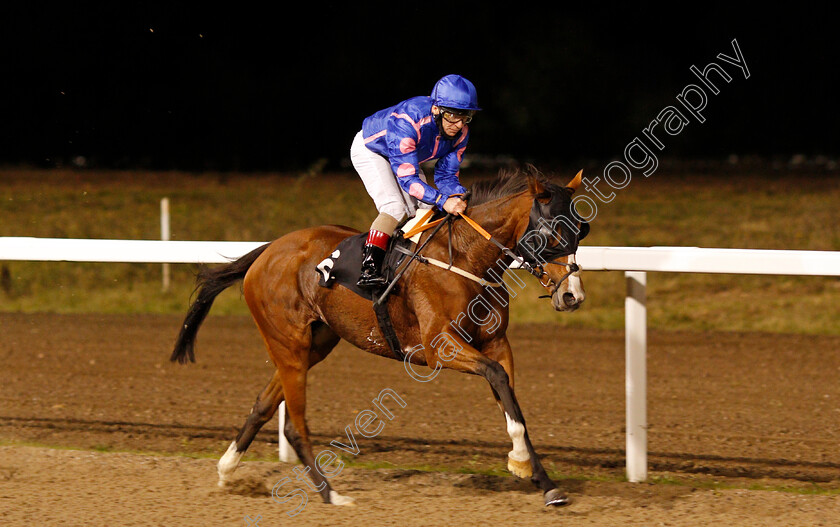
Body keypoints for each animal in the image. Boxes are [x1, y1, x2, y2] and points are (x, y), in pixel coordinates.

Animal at [171, 167, 592, 510]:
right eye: (553, 231)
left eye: (581, 229)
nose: (573, 296)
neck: (465, 259)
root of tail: (266, 251)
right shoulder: (440, 348)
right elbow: (498, 380)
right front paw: (523, 464)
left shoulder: (497, 345)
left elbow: (512, 403)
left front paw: (543, 481)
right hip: (288, 343)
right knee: (294, 423)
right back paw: (330, 494)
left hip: (314, 344)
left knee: (263, 404)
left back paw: (227, 469)